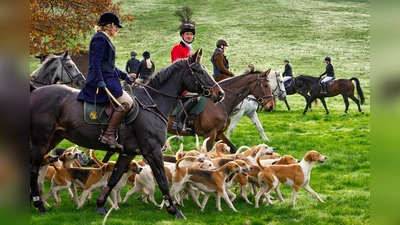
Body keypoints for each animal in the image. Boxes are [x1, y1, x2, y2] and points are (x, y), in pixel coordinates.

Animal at [30, 48, 225, 218]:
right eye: (198, 71)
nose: (220, 93)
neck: (153, 102)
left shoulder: (128, 153)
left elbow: (114, 178)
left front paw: (100, 205)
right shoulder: (153, 151)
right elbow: (162, 179)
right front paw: (174, 210)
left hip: (54, 138)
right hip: (41, 141)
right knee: (33, 168)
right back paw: (39, 204)